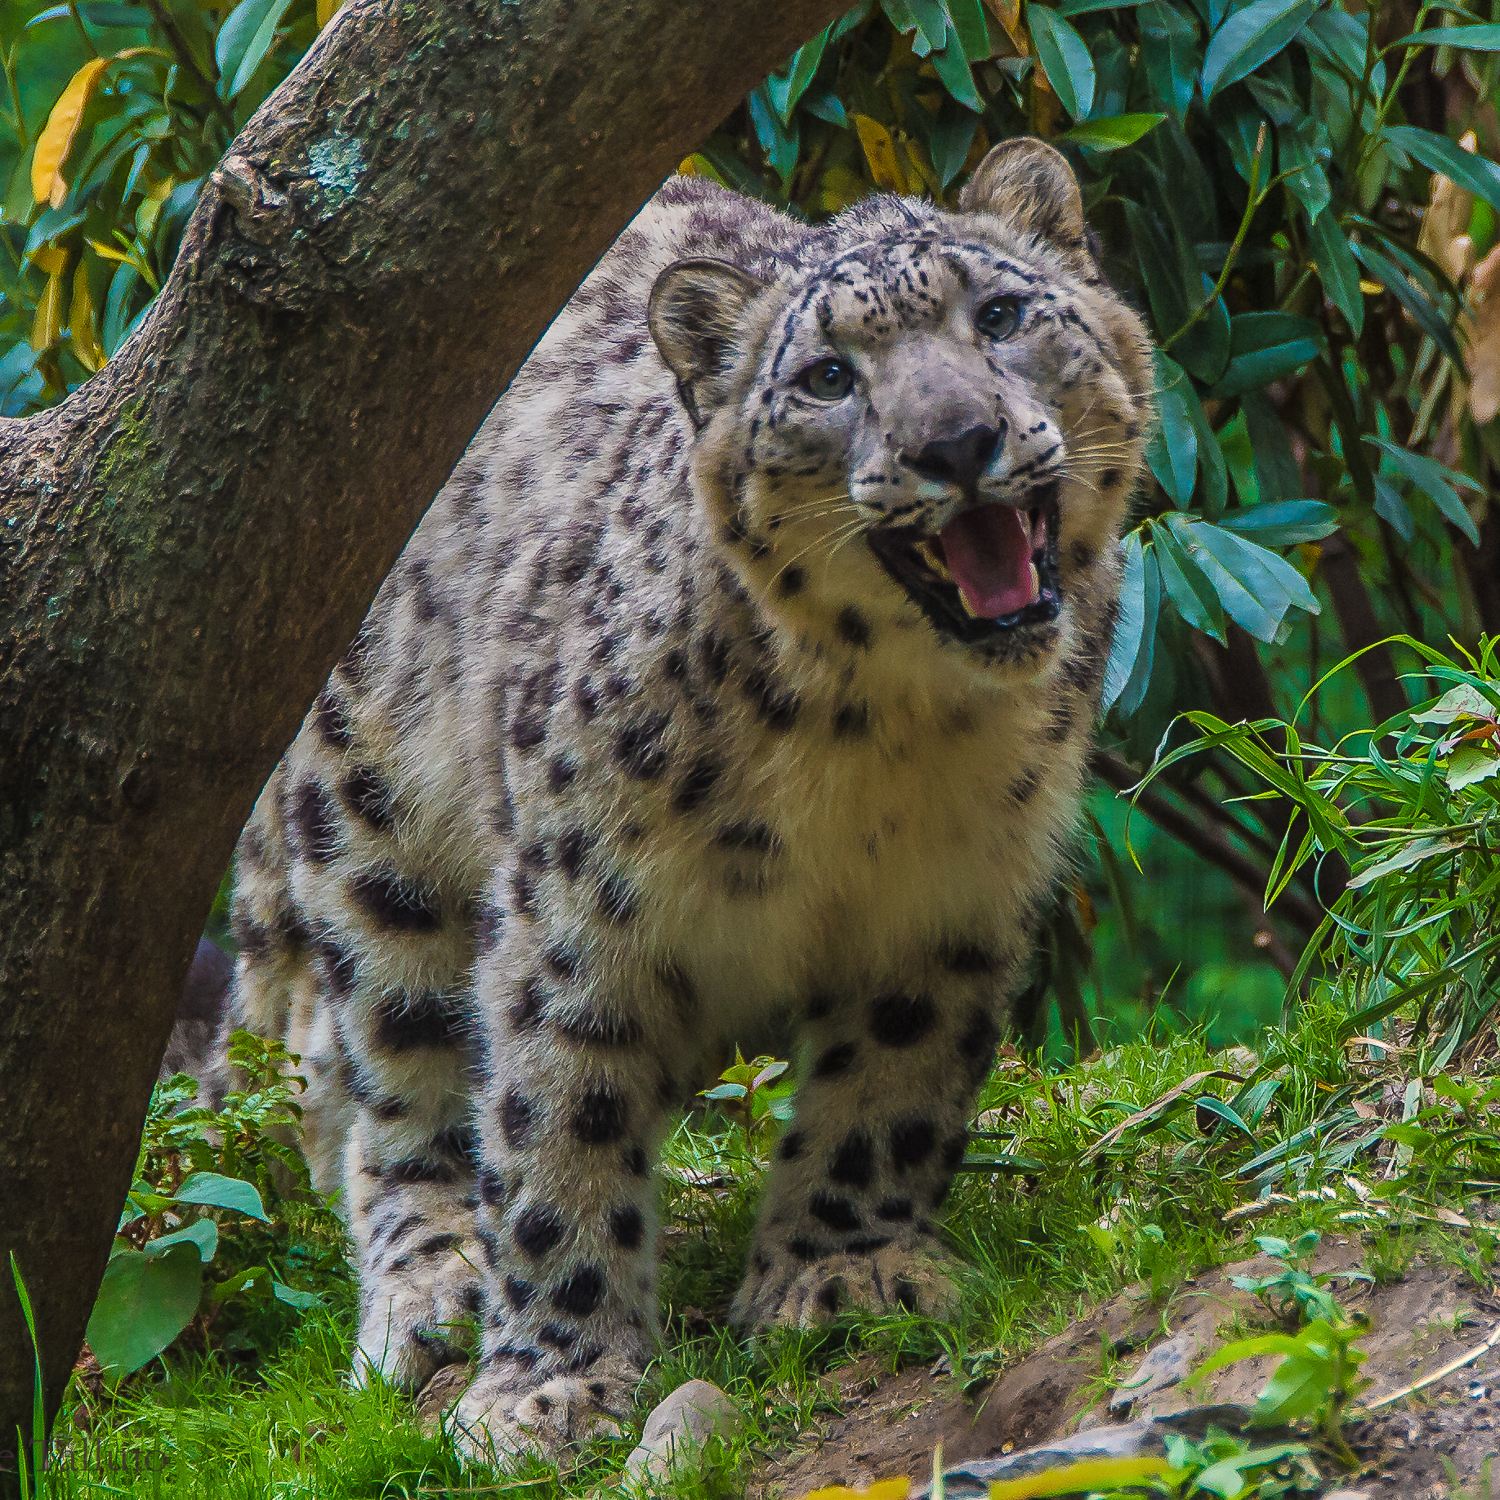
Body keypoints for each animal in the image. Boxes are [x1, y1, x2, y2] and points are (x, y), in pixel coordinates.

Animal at [222, 136, 1154, 1463]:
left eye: (1002, 316)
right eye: (827, 375)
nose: (958, 441)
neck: (887, 743)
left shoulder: (952, 902)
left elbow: (890, 1090)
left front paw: (843, 1275)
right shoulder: (578, 915)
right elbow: (556, 1129)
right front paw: (551, 1387)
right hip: (373, 815)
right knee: (388, 1063)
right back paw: (432, 1287)